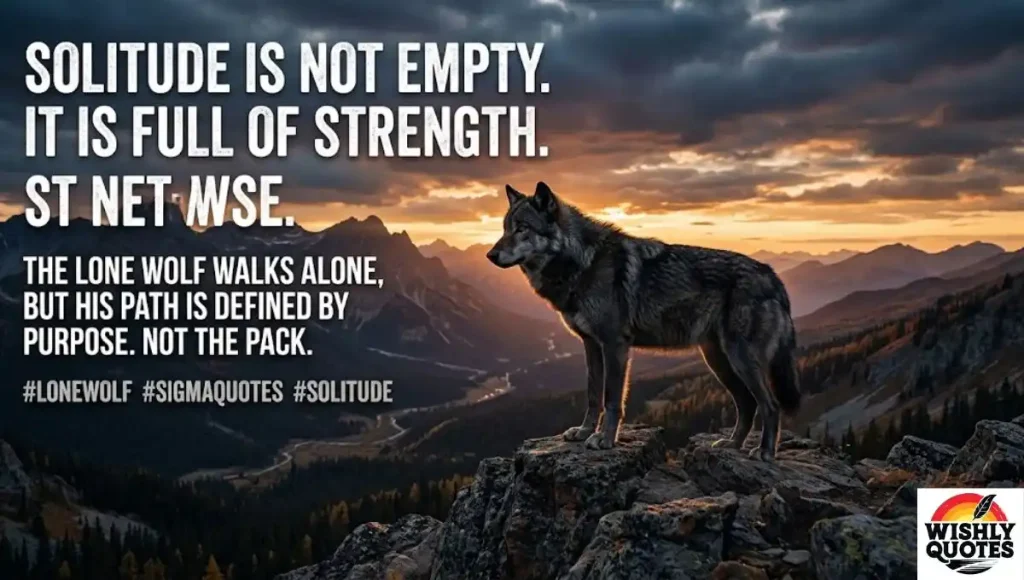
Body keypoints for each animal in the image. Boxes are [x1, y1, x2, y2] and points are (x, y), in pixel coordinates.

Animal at [486, 182, 802, 461]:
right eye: (504, 228)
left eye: (522, 228)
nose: (490, 255)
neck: (582, 262)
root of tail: (773, 276)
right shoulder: (591, 345)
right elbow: (592, 395)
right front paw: (584, 432)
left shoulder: (615, 345)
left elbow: (612, 398)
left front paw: (604, 440)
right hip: (718, 361)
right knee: (747, 403)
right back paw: (731, 444)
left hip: (741, 359)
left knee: (770, 404)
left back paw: (764, 452)